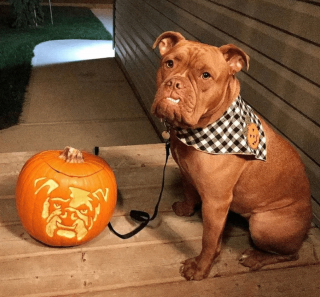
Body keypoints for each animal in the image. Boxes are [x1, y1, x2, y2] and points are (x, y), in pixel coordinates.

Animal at [151, 31, 312, 280]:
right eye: (169, 63)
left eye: (206, 75)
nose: (175, 83)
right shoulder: (188, 174)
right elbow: (189, 191)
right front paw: (186, 208)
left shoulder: (216, 203)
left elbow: (209, 241)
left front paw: (200, 268)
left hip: (262, 224)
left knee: (290, 254)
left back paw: (255, 258)